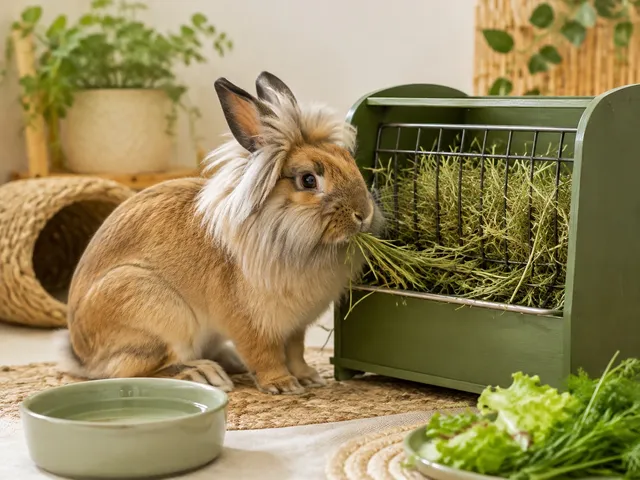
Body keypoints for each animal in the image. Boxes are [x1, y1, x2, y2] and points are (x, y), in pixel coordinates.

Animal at [57, 71, 384, 395]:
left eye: (348, 159)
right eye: (308, 180)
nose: (363, 214)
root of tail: (82, 356)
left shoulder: (296, 327)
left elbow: (296, 351)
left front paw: (309, 378)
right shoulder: (251, 324)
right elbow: (265, 355)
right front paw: (283, 385)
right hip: (154, 314)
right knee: (135, 371)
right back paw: (203, 374)